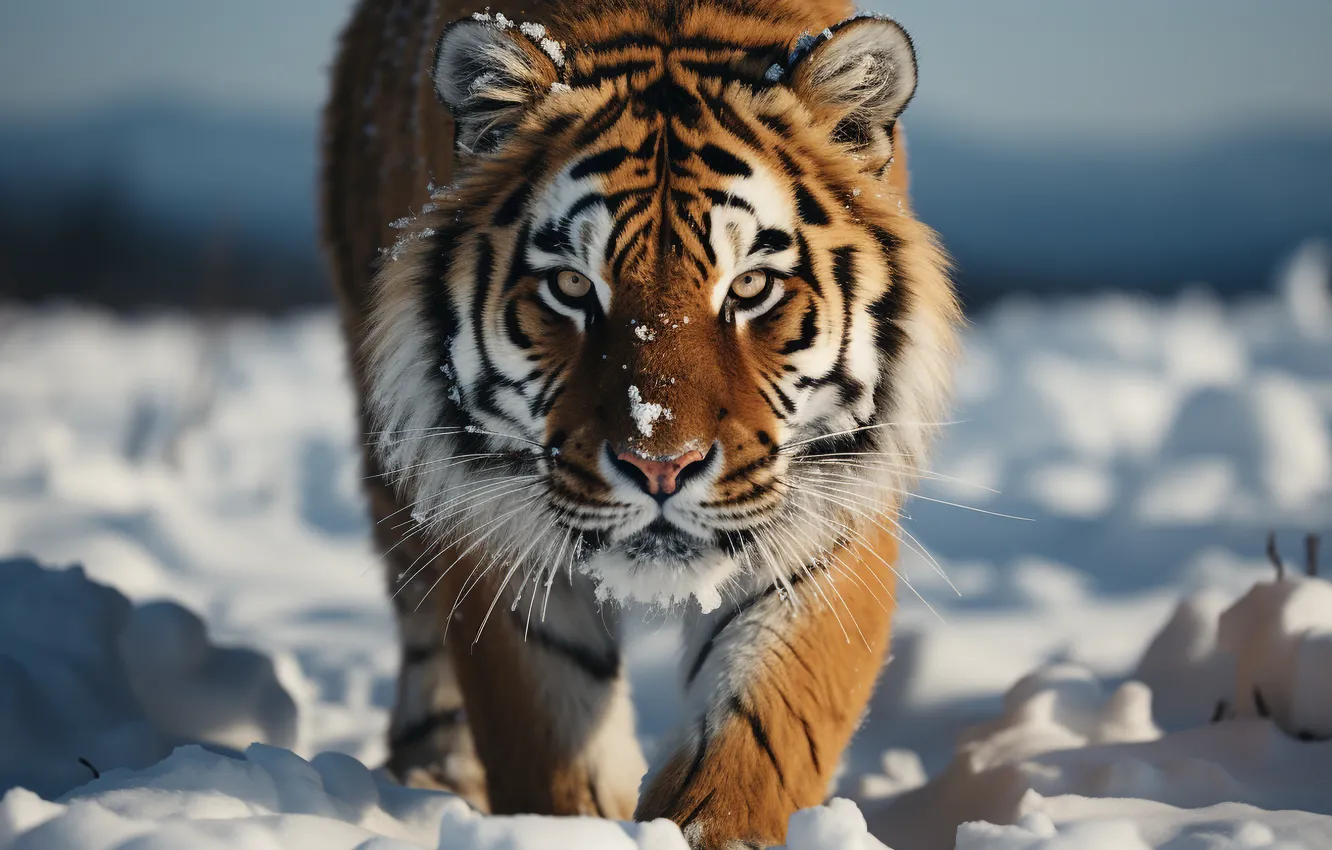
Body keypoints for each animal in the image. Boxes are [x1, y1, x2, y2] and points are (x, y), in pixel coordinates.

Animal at [321, 0, 959, 846]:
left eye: (750, 286)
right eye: (570, 287)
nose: (662, 466)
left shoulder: (828, 518)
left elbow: (754, 739)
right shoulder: (495, 524)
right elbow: (550, 743)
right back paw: (434, 773)